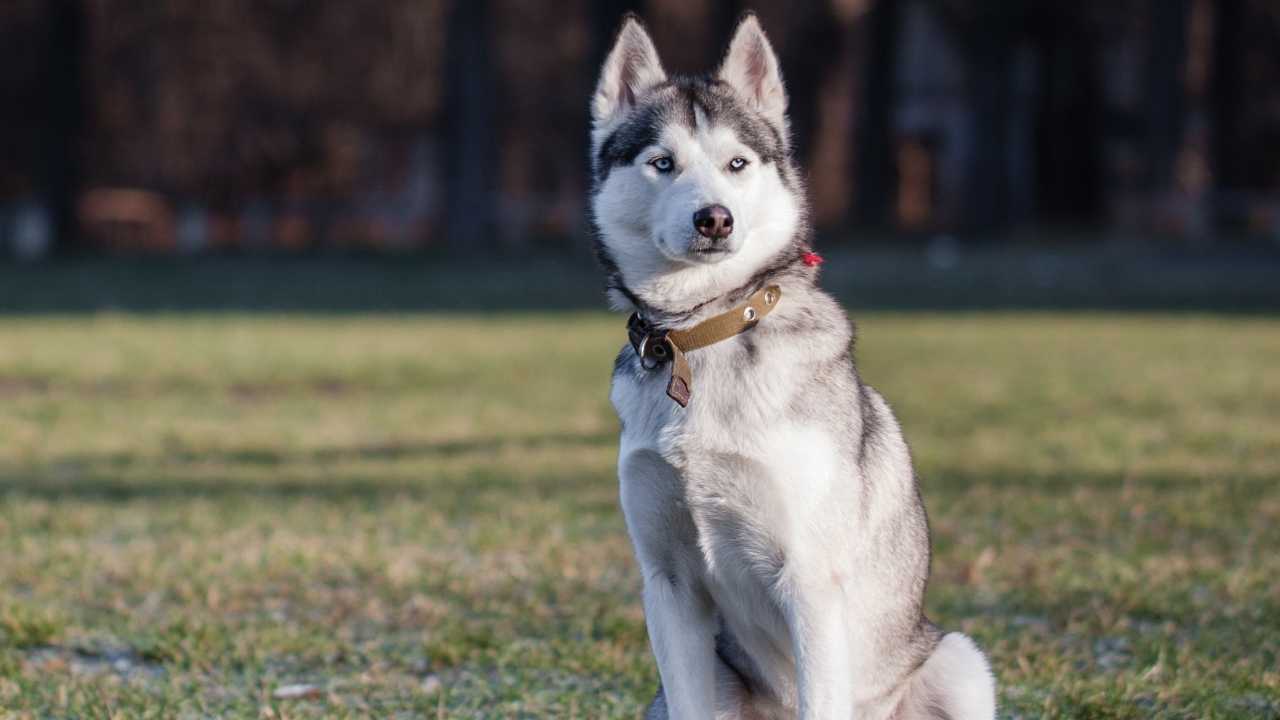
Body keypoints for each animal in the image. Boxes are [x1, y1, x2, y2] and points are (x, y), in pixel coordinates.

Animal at [588, 11, 998, 717]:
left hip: (958, 660)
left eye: (737, 163)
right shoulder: (668, 584)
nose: (715, 218)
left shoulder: (808, 580)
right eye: (662, 163)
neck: (704, 332)